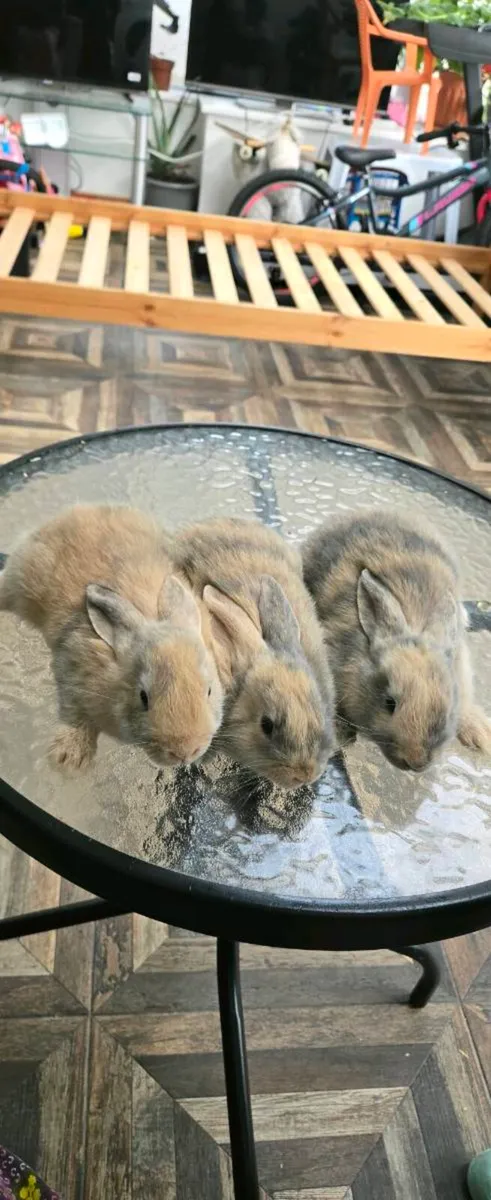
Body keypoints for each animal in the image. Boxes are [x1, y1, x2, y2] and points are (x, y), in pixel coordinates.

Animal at [0, 505, 224, 773]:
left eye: (209, 690)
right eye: (143, 697)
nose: (185, 752)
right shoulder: (70, 674)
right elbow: (75, 715)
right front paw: (68, 762)